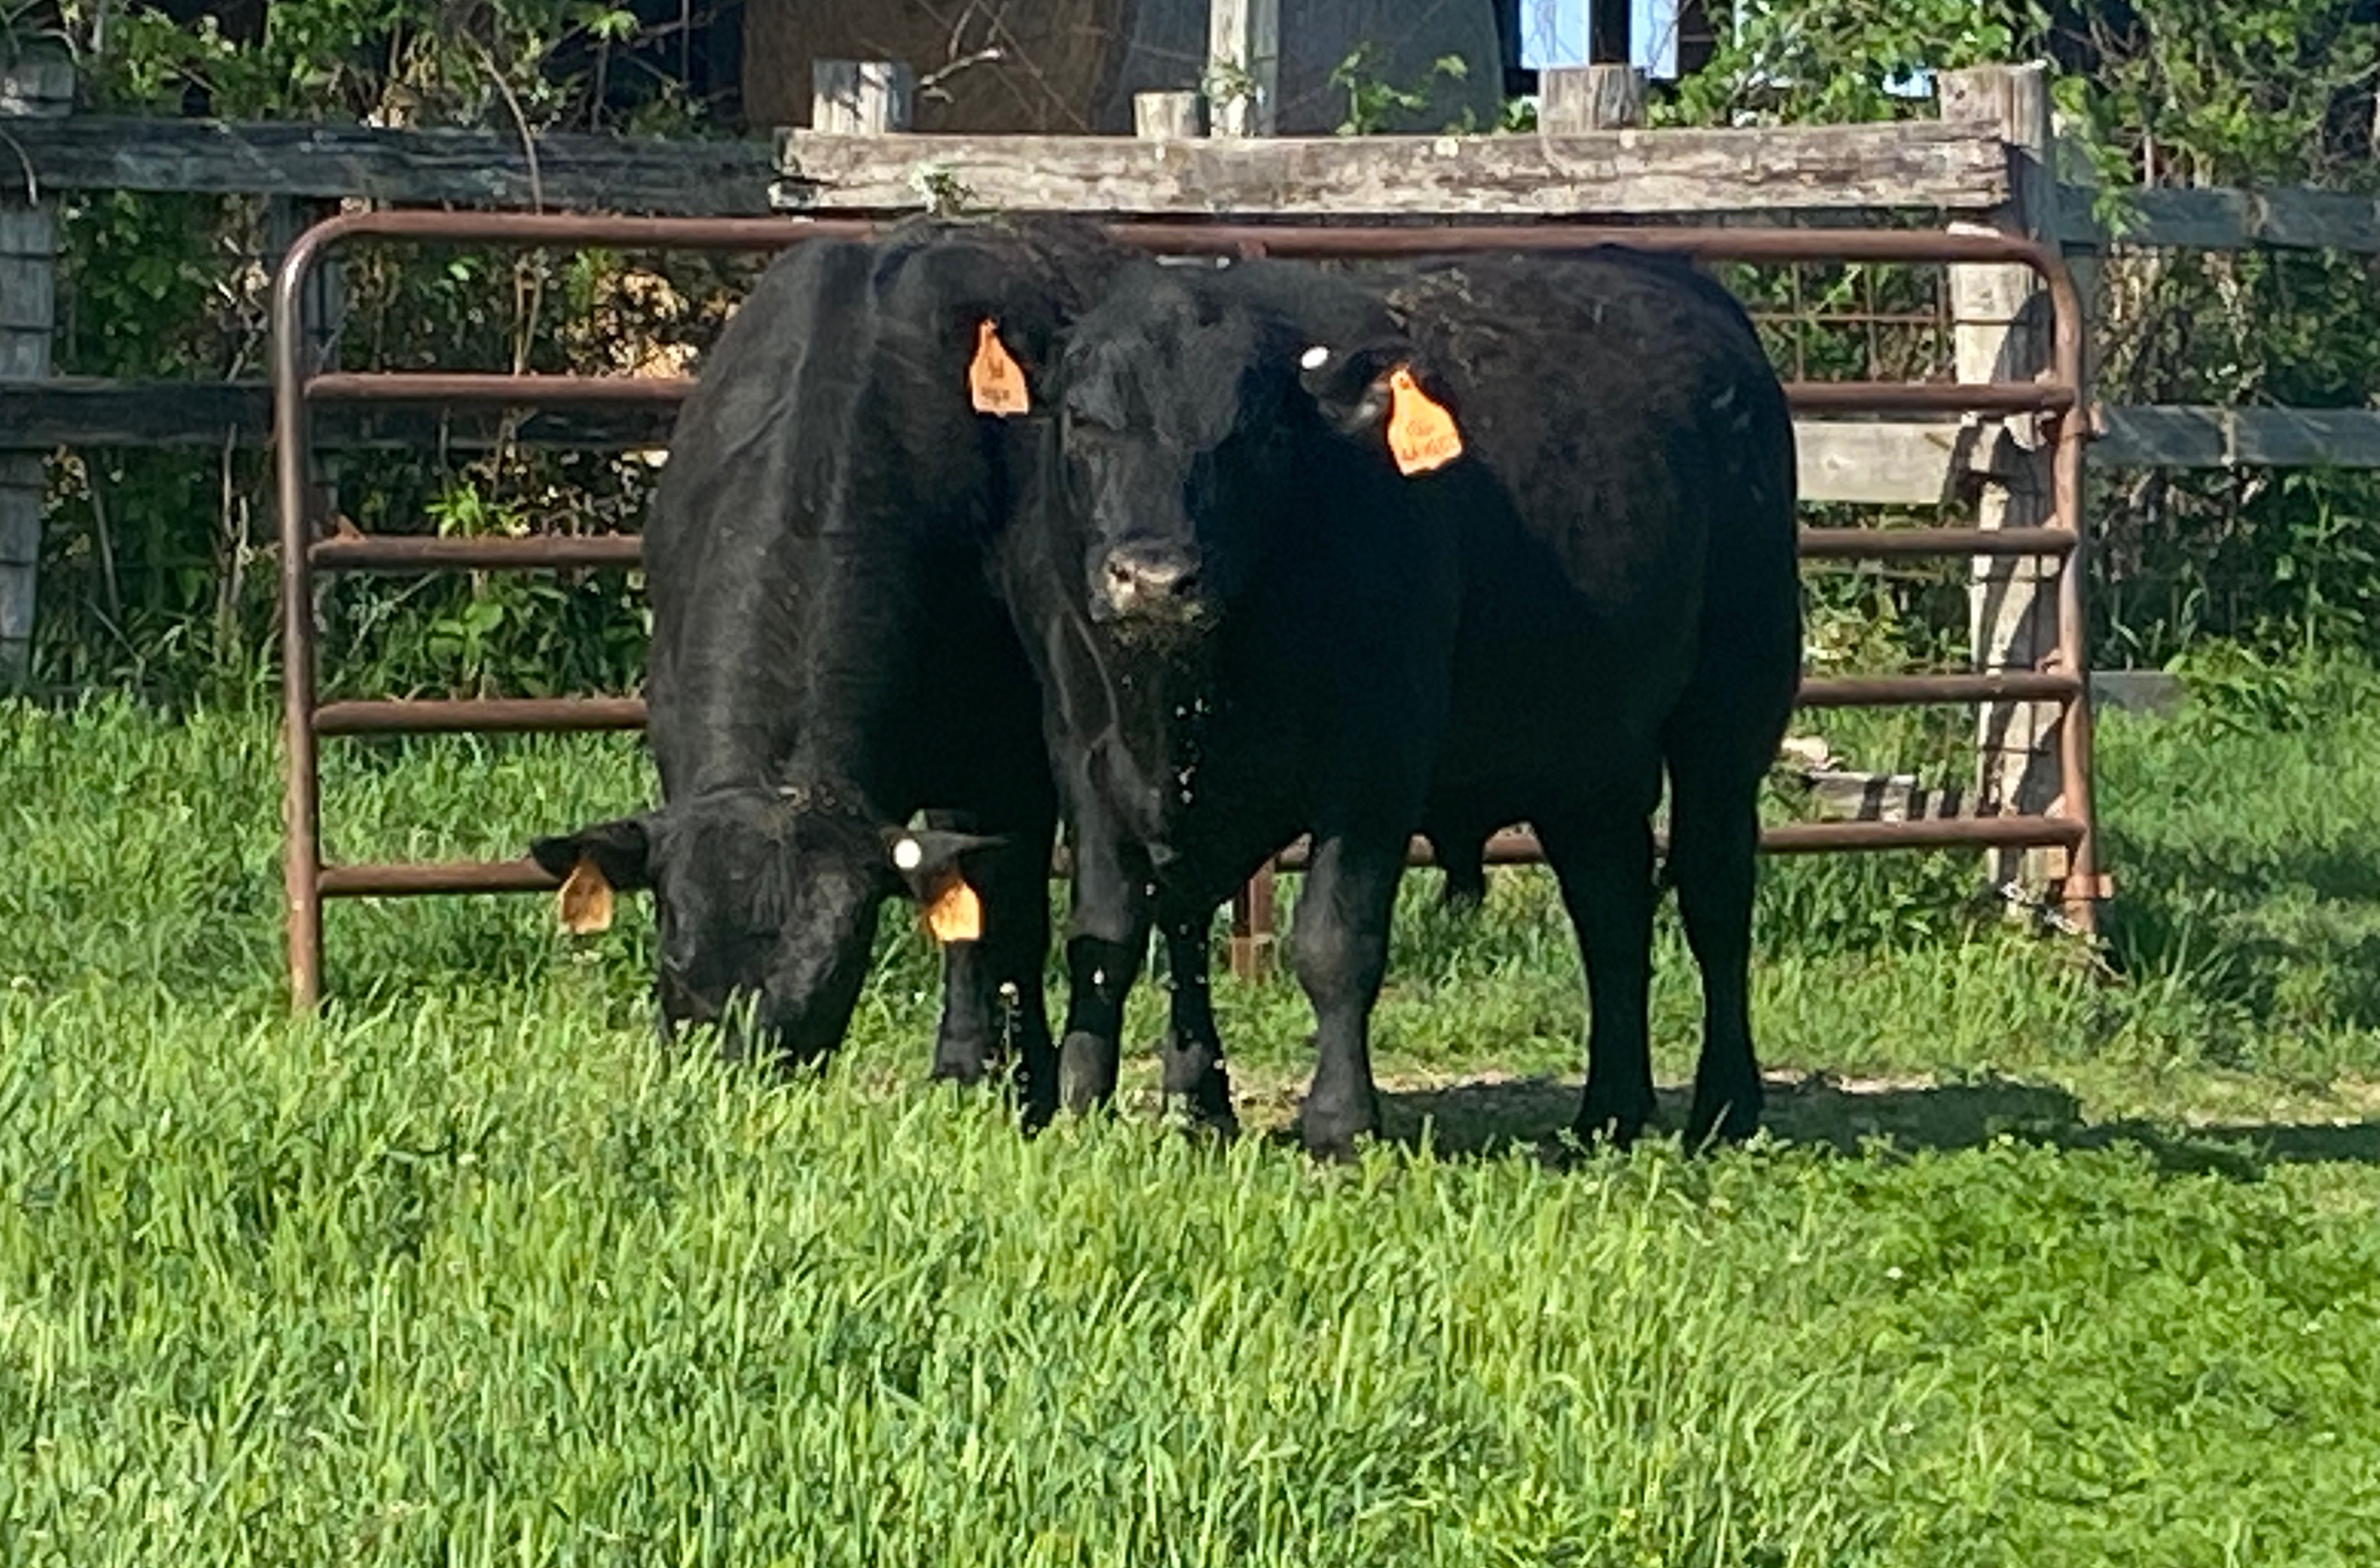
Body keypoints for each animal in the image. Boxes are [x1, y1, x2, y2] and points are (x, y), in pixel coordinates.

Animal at [529, 217, 1129, 1124]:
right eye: (674, 950)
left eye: (832, 974)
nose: (732, 1081)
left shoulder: (1005, 750)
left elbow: (1002, 909)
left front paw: (1004, 1079)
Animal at [1017, 246, 1800, 1155]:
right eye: (1083, 420)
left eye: (1257, 434)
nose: (1153, 577)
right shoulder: (1085, 751)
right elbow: (1113, 933)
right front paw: (1106, 1102)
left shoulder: (1374, 762)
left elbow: (1333, 942)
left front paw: (1339, 1123)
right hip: (1588, 756)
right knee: (1609, 908)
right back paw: (1607, 1109)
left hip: (1729, 712)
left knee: (1714, 891)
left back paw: (1724, 1106)